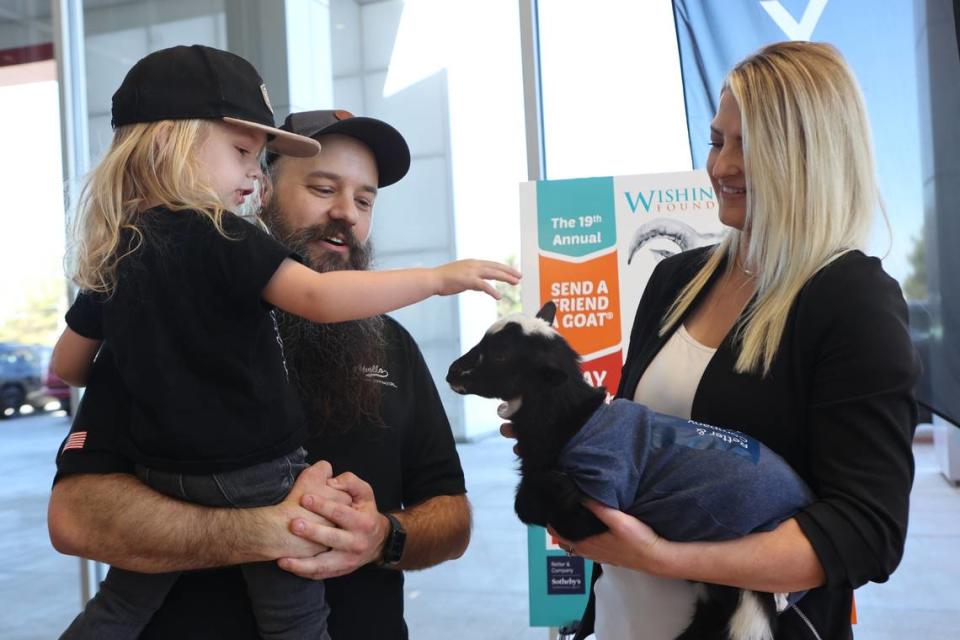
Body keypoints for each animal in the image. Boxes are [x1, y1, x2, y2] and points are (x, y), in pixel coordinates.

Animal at [446, 302, 812, 640]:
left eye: (500, 355)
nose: (451, 372)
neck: (572, 421)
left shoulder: (602, 497)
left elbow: (529, 504)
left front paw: (552, 487)